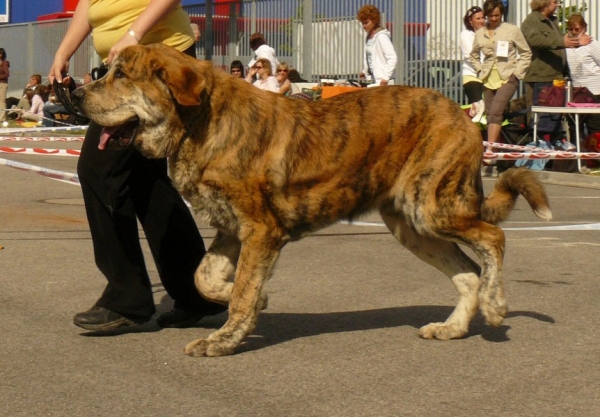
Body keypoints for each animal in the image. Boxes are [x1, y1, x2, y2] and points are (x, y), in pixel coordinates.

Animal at [71, 44, 552, 356]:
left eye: (120, 75)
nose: (74, 94)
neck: (200, 123)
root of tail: (464, 116)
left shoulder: (261, 230)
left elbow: (241, 290)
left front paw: (224, 339)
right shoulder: (232, 229)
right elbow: (205, 277)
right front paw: (254, 303)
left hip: (431, 207)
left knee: (493, 239)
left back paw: (495, 307)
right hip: (411, 226)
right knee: (468, 272)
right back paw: (452, 328)